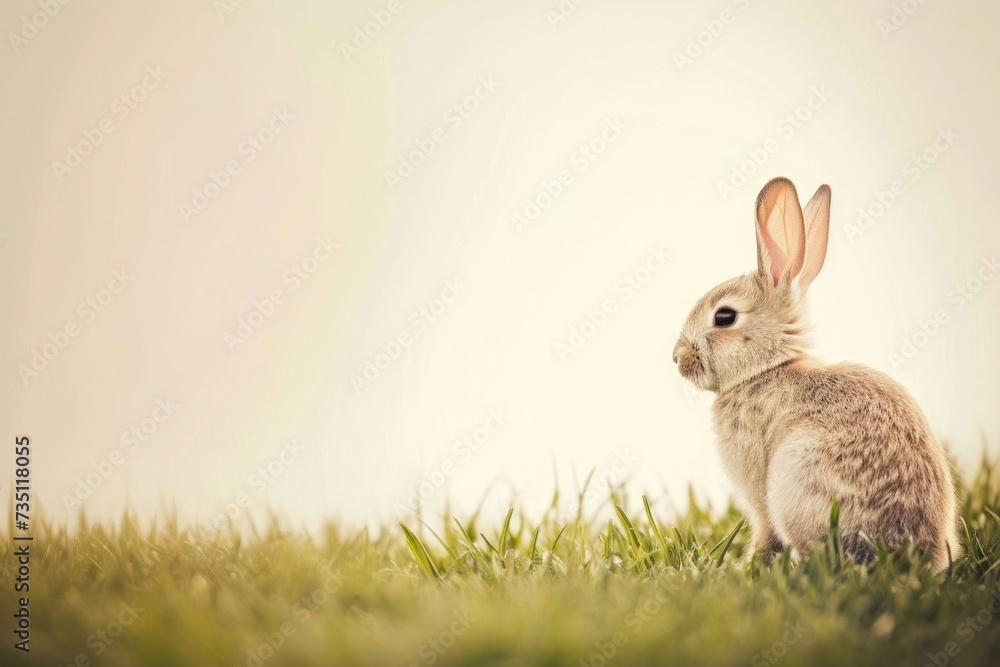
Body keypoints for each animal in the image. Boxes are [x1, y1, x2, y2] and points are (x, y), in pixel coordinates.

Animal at [672, 176, 961, 570]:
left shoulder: (761, 494)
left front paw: (747, 565)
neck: (766, 369)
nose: (677, 357)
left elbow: (765, 532)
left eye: (725, 317)